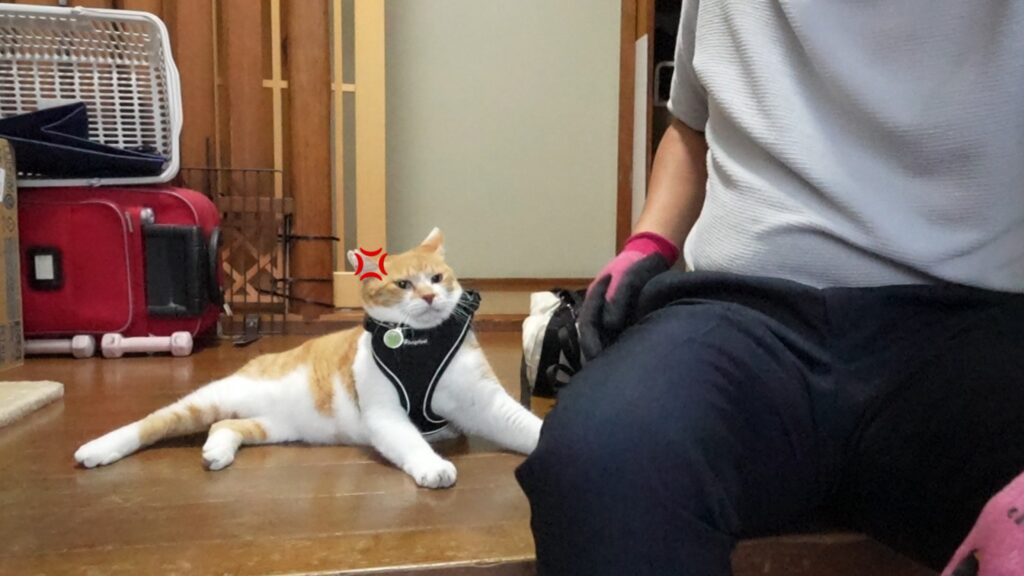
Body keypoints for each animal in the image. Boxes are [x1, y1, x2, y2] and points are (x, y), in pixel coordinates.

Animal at [74, 228, 542, 489]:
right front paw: (433, 466)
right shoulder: (385, 414)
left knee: (226, 426)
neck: (421, 344)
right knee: (152, 422)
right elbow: (409, 440)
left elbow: (526, 425)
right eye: (404, 284)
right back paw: (98, 448)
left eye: (437, 277)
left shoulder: (485, 403)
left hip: (272, 426)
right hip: (210, 399)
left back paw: (217, 451)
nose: (429, 296)